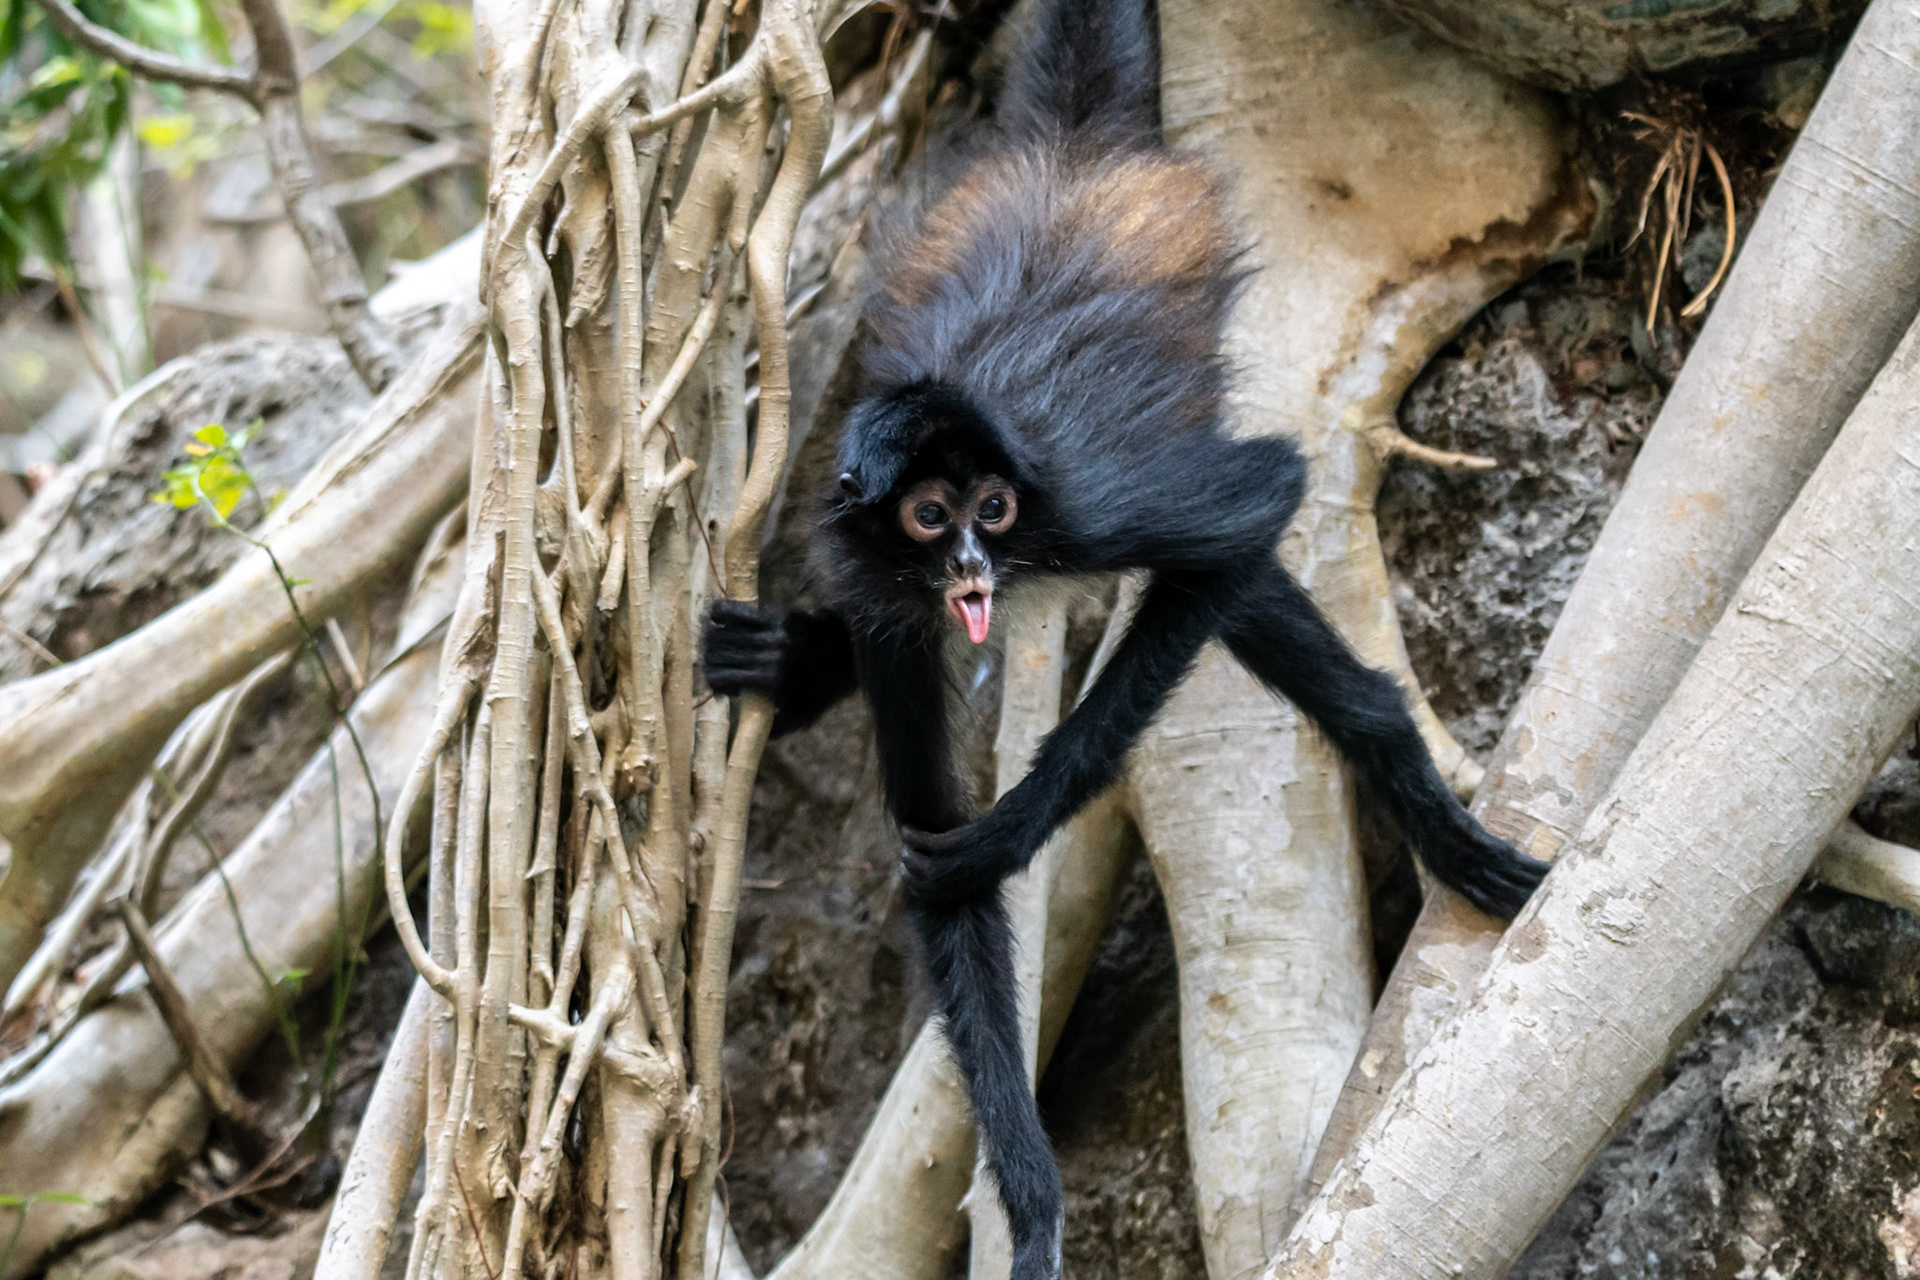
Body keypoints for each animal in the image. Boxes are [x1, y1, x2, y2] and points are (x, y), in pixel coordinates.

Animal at [699, 0, 1550, 1272]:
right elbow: (933, 863)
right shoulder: (877, 579)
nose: (970, 564)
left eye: (991, 507)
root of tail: (1070, 150)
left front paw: (1010, 831)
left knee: (1246, 574)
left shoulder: (1082, 498)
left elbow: (1268, 487)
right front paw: (1032, 1198)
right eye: (928, 516)